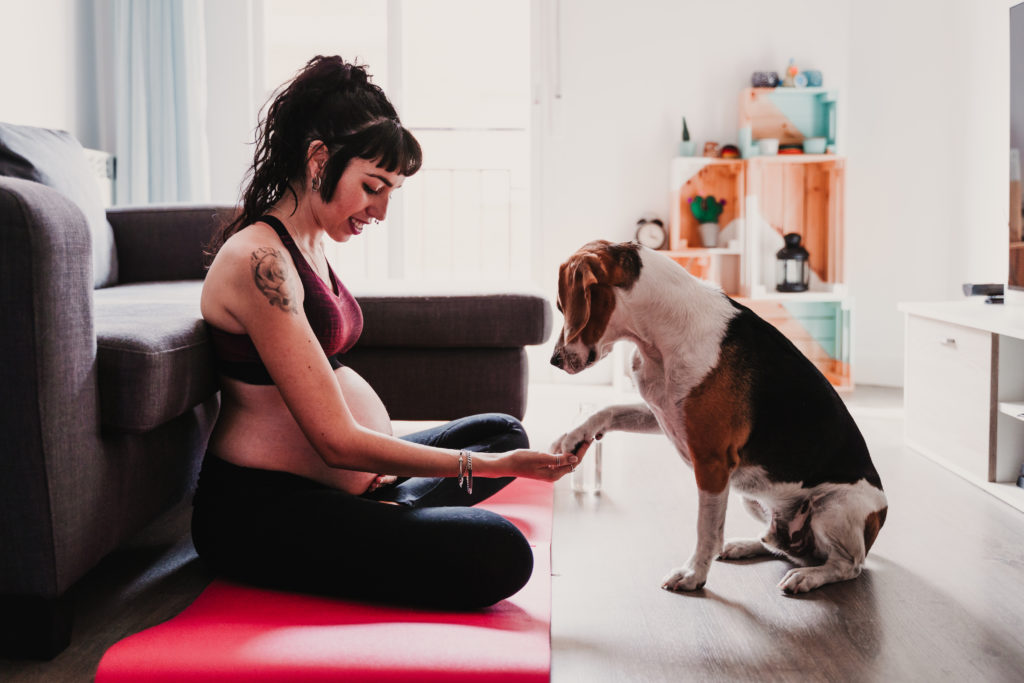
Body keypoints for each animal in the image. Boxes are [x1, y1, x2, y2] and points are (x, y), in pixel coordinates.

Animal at [548, 240, 884, 593]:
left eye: (562, 307)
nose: (553, 361)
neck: (659, 333)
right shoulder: (664, 413)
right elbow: (609, 410)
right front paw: (574, 435)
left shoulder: (711, 461)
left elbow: (706, 530)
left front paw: (694, 575)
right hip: (752, 497)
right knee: (776, 545)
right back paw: (745, 545)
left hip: (834, 507)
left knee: (847, 565)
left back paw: (809, 576)